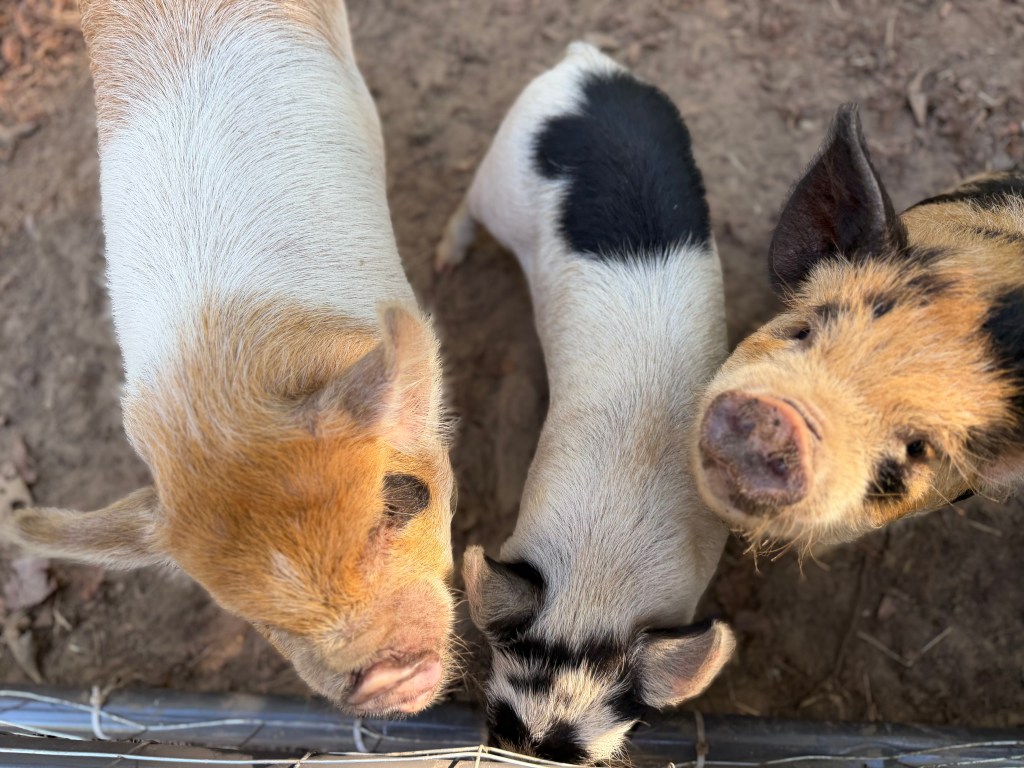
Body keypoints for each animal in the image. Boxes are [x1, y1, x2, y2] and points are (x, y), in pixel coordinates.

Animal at [436, 42, 735, 764]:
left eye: (570, 751)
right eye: (500, 720)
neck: (597, 584)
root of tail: (586, 67)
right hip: (503, 166)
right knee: (468, 203)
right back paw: (444, 262)